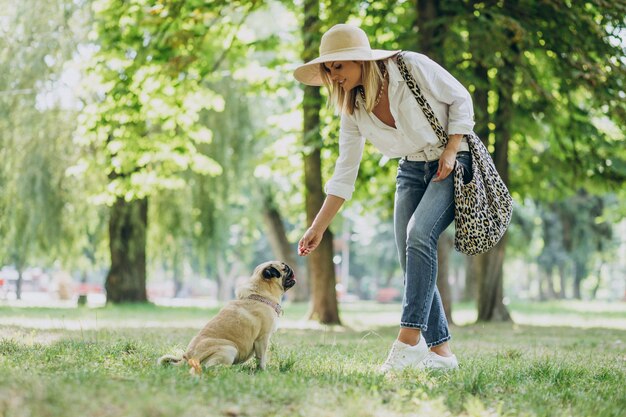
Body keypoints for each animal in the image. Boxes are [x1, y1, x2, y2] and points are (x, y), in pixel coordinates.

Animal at [156, 260, 292, 374]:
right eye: (285, 268)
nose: (291, 268)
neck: (259, 294)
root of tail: (187, 358)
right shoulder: (262, 339)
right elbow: (261, 358)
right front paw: (263, 371)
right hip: (230, 349)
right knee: (209, 367)